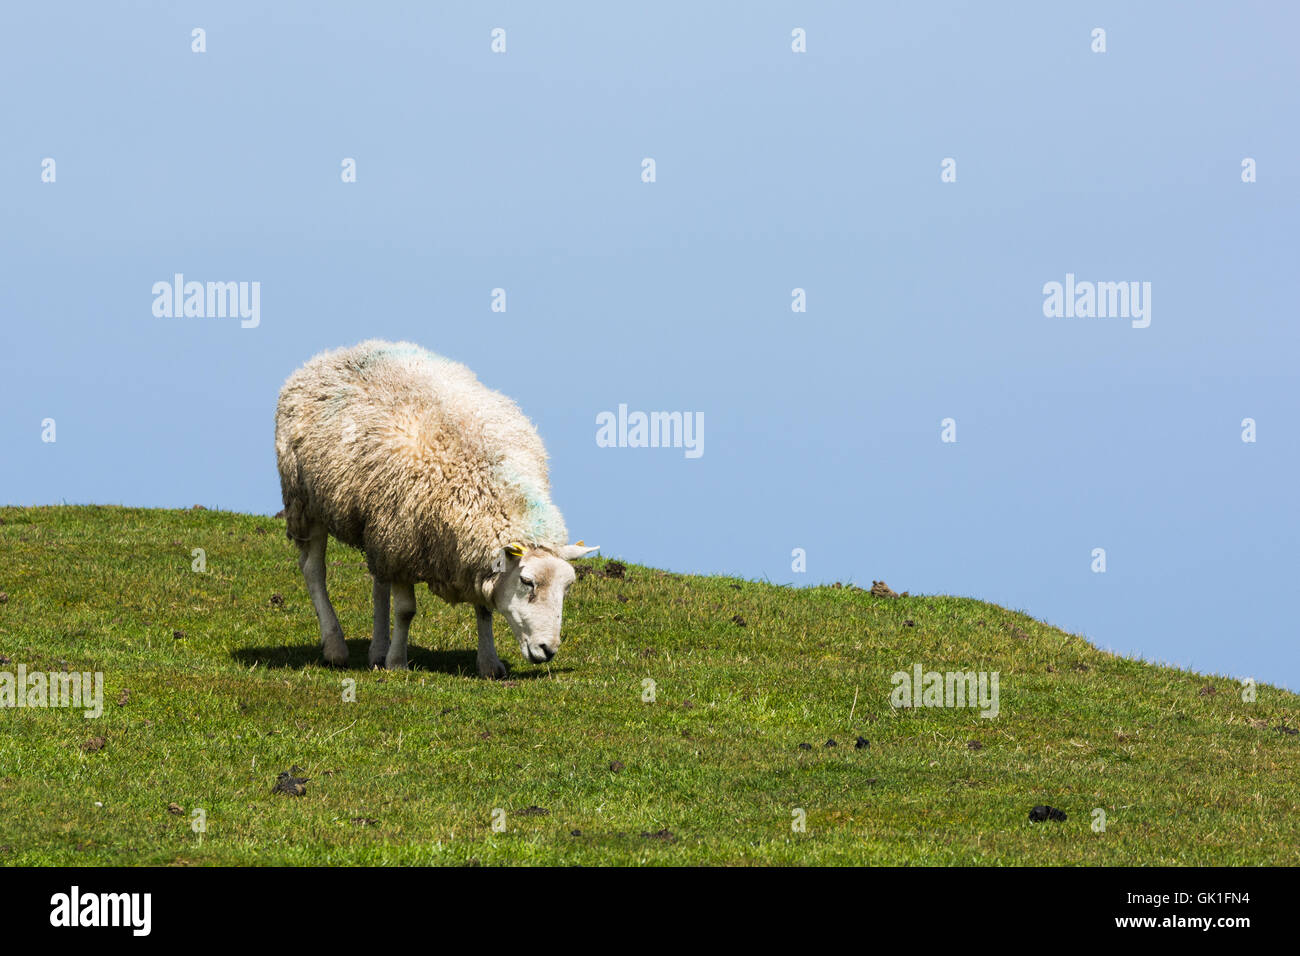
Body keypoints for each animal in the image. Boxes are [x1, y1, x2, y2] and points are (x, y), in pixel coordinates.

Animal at [274, 340, 598, 677]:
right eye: (527, 582)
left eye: (567, 587)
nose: (548, 650)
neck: (477, 477)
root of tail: (337, 352)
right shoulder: (402, 543)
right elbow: (406, 611)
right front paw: (397, 663)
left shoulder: (455, 552)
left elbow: (484, 610)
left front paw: (488, 663)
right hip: (305, 501)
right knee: (314, 571)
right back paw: (336, 646)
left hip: (376, 524)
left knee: (378, 582)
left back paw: (377, 650)